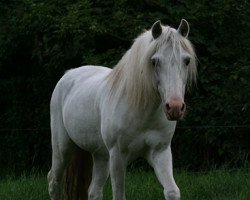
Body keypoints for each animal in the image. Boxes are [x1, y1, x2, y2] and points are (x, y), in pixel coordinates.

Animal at [47, 19, 197, 200]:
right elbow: (119, 194)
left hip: (101, 155)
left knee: (94, 191)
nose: (174, 107)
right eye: (154, 61)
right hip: (62, 149)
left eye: (187, 61)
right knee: (54, 182)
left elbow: (172, 192)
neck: (142, 112)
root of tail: (67, 75)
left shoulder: (160, 152)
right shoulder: (118, 156)